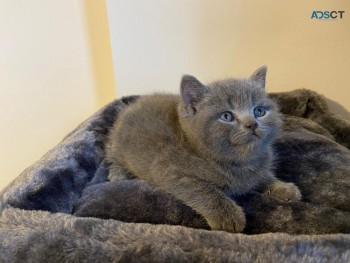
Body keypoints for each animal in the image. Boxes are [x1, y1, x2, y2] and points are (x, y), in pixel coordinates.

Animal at [106, 66, 300, 233]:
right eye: (226, 116)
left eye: (259, 111)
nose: (251, 124)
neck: (238, 161)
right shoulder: (168, 169)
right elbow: (203, 189)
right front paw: (228, 215)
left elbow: (262, 177)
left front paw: (283, 188)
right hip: (118, 146)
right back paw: (118, 175)